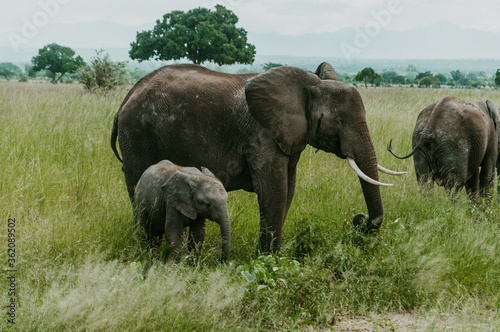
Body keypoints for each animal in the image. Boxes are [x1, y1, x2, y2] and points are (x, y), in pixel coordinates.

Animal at [112, 62, 402, 253]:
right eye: (337, 121)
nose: (358, 219)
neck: (310, 85)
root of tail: (127, 97)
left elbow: (288, 191)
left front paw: (271, 256)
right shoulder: (262, 135)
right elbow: (274, 190)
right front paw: (267, 260)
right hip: (138, 133)